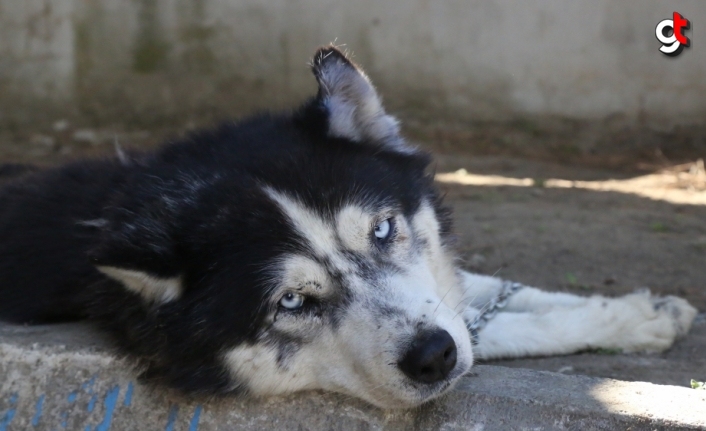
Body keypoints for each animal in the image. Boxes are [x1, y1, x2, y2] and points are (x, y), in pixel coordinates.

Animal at [0, 46, 696, 408]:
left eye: (383, 232)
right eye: (292, 302)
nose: (434, 357)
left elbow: (488, 293)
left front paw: (640, 312)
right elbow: (495, 324)